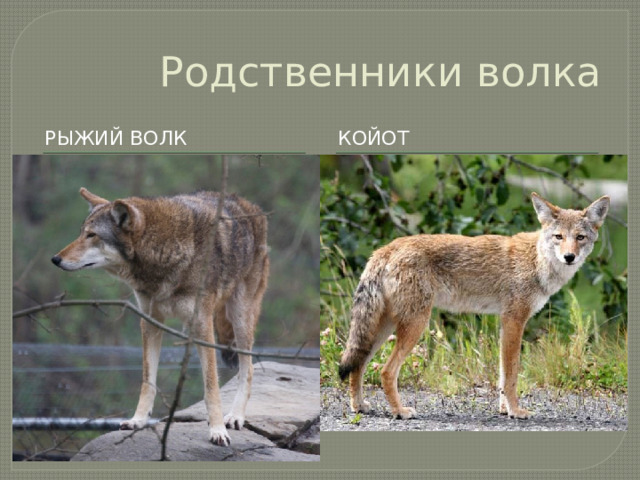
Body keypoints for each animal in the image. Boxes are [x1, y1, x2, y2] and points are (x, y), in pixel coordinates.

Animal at [52, 188, 269, 446]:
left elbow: (211, 386)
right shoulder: (149, 321)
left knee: (248, 368)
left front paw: (217, 430)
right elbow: (148, 381)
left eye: (92, 235)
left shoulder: (202, 325)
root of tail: (248, 204)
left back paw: (235, 417)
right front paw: (138, 420)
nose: (55, 259)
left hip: (240, 317)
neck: (163, 250)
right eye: (81, 233)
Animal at [339, 192, 609, 420]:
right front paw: (516, 411)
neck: (537, 261)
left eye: (580, 237)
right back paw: (400, 411)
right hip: (414, 326)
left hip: (384, 328)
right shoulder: (514, 321)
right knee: (385, 371)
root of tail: (385, 249)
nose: (569, 257)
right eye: (559, 237)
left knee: (358, 365)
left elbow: (502, 375)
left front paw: (504, 409)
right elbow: (511, 375)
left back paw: (359, 407)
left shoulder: (505, 323)